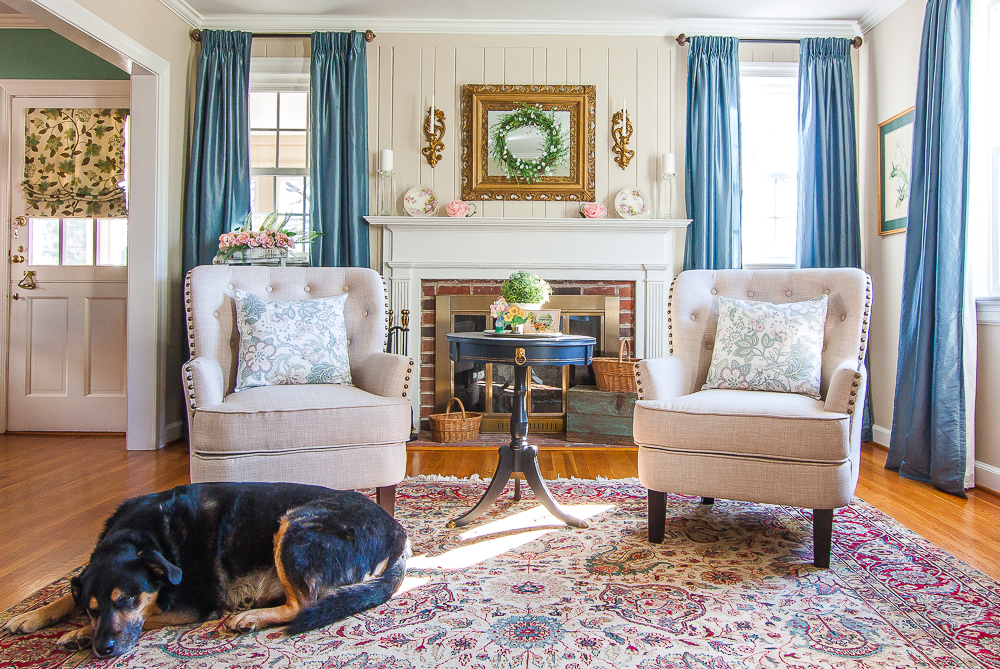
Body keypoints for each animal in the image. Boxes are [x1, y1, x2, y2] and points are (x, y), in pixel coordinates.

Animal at [2, 480, 410, 656]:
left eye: (129, 598)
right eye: (92, 607)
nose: (104, 649)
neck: (141, 535)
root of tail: (397, 531)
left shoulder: (191, 603)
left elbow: (146, 617)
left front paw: (77, 634)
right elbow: (68, 595)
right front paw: (32, 616)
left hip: (295, 527)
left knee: (304, 604)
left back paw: (248, 617)